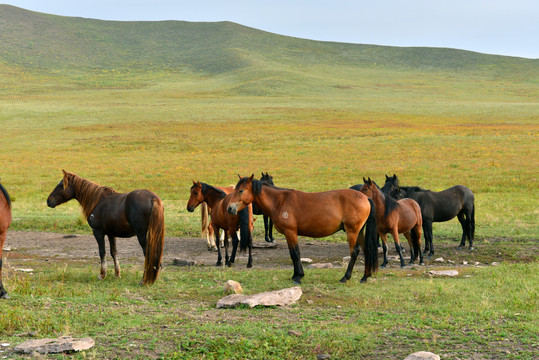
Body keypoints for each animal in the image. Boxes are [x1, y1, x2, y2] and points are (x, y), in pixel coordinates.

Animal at [226, 174, 378, 284]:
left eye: (241, 190)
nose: (229, 208)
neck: (279, 201)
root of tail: (366, 198)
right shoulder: (288, 234)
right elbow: (292, 254)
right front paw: (295, 275)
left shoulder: (291, 232)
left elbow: (296, 253)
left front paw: (299, 277)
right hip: (359, 232)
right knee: (366, 250)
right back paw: (365, 277)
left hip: (352, 232)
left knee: (355, 251)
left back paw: (345, 277)